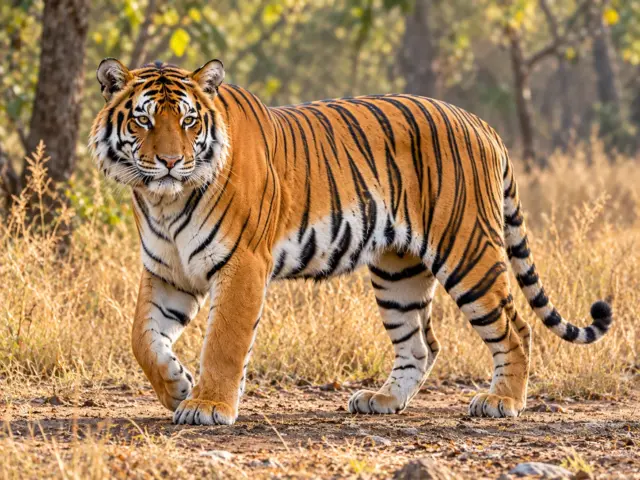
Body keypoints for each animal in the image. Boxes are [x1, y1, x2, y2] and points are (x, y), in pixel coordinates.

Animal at [89, 58, 613, 426]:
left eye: (189, 122)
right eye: (143, 121)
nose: (171, 162)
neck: (165, 200)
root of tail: (481, 124)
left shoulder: (242, 264)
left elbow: (224, 341)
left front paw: (208, 404)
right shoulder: (167, 270)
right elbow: (142, 340)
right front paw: (177, 386)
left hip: (468, 252)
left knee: (515, 326)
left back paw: (502, 400)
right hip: (398, 271)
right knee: (421, 344)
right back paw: (383, 399)